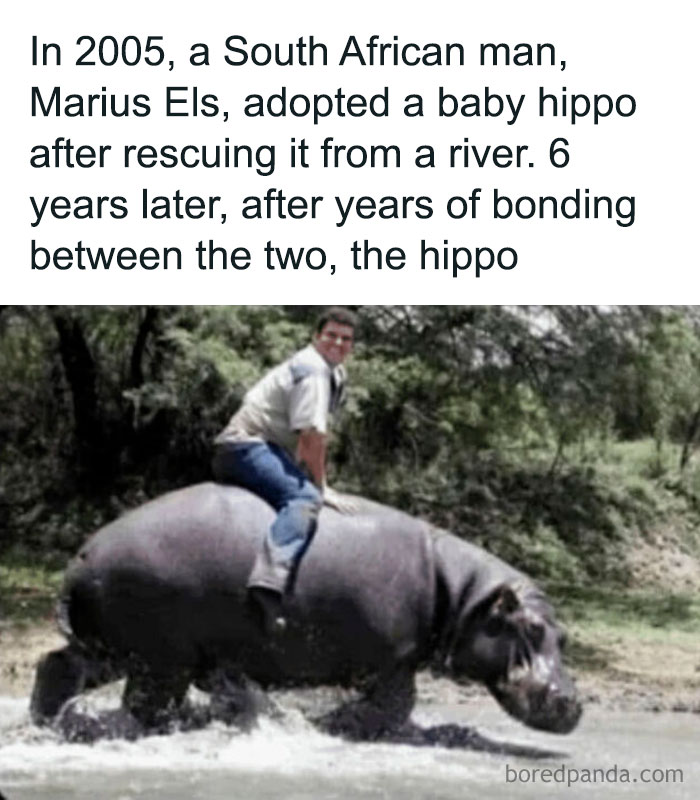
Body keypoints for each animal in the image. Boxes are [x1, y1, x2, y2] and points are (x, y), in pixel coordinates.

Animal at [30, 483, 581, 740]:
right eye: (531, 627)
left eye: (566, 637)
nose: (573, 702)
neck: (464, 595)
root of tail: (83, 555)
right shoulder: (392, 661)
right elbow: (395, 706)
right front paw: (337, 722)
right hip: (160, 657)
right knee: (145, 705)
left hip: (114, 645)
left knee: (58, 666)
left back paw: (46, 722)